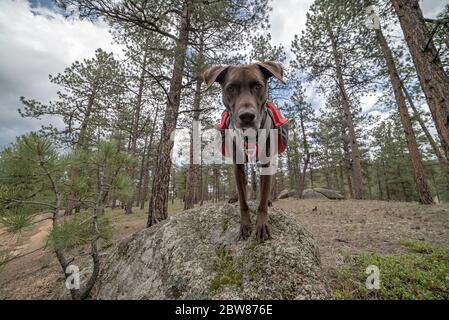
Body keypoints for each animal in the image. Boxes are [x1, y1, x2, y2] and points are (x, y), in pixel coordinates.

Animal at [203, 61, 284, 240]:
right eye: (231, 88)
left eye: (258, 86)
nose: (247, 116)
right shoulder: (237, 163)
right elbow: (243, 199)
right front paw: (245, 224)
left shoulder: (266, 162)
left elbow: (262, 201)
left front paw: (261, 224)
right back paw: (234, 196)